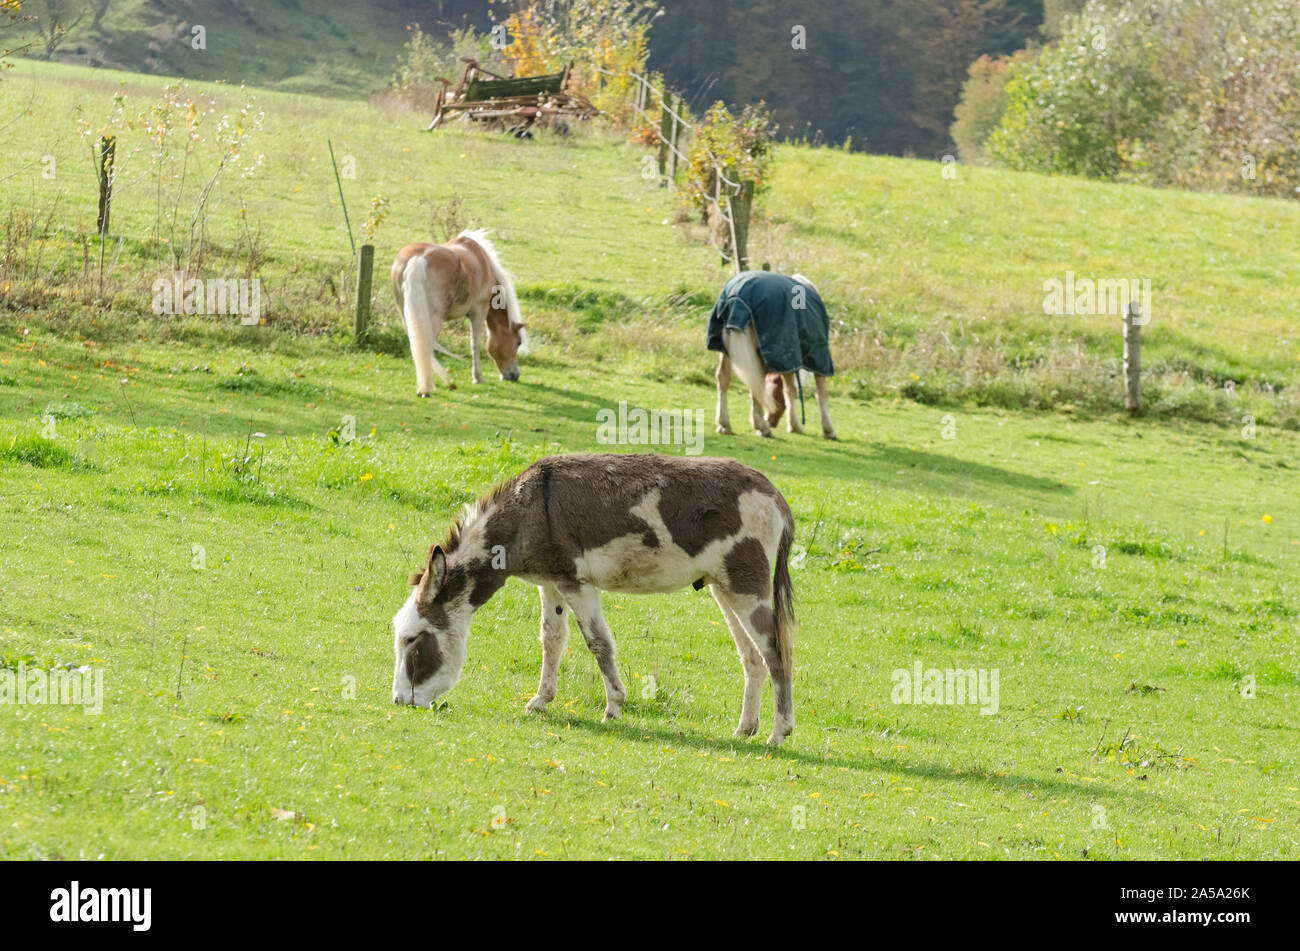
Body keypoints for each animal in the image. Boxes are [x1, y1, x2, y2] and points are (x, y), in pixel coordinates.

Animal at [390, 228, 527, 394]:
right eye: (518, 342)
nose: (514, 375)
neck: (484, 261)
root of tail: (418, 258)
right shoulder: (478, 312)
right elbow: (475, 345)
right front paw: (478, 378)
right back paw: (427, 387)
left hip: (407, 317)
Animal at [390, 452, 795, 743]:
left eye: (412, 640)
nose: (399, 702)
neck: (527, 512)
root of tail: (775, 495)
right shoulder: (550, 583)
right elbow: (552, 640)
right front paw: (541, 701)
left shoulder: (576, 584)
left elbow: (598, 642)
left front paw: (614, 707)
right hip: (723, 587)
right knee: (752, 657)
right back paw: (745, 729)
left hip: (747, 588)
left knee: (775, 652)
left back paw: (779, 733)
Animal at [707, 267, 837, 439]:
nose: (771, 421)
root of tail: (737, 298)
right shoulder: (815, 356)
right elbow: (818, 393)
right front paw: (827, 429)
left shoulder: (788, 359)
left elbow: (789, 390)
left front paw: (793, 425)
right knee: (755, 383)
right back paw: (762, 428)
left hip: (727, 351)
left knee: (724, 379)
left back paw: (725, 424)